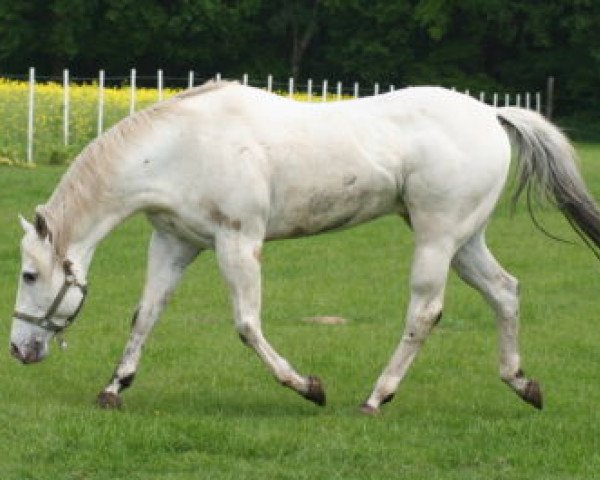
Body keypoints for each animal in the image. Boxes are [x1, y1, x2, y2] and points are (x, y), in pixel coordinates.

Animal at [9, 81, 600, 412]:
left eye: (29, 275)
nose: (17, 350)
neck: (182, 146)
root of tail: (490, 115)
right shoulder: (174, 243)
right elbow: (145, 316)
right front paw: (114, 389)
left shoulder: (238, 242)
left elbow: (247, 325)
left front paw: (308, 387)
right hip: (465, 240)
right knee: (505, 292)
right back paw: (521, 384)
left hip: (438, 237)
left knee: (425, 311)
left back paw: (376, 398)